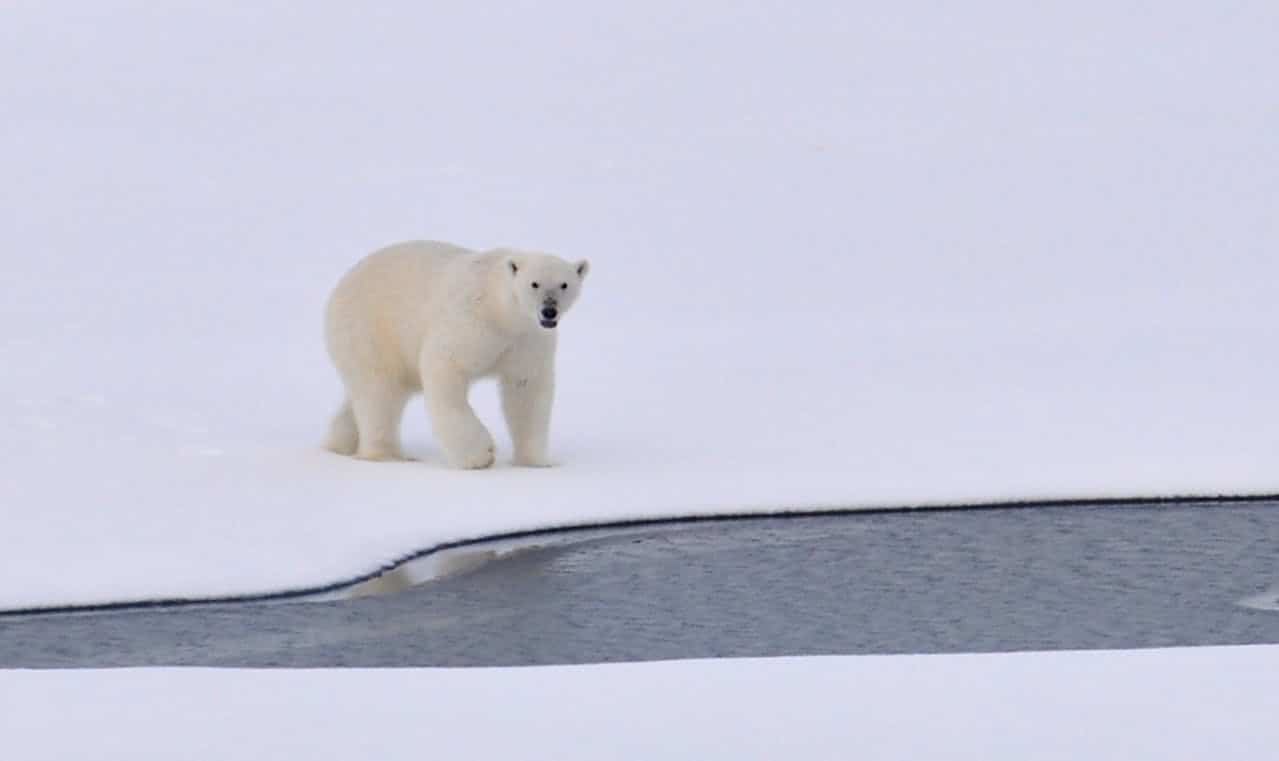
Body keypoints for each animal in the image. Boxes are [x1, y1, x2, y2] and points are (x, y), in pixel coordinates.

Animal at [324, 243, 593, 470]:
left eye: (564, 284)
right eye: (534, 284)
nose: (549, 310)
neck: (501, 311)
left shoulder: (527, 340)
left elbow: (526, 388)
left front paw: (536, 462)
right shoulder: (471, 320)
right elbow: (445, 366)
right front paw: (480, 455)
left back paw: (340, 442)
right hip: (370, 329)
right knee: (379, 391)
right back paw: (387, 455)